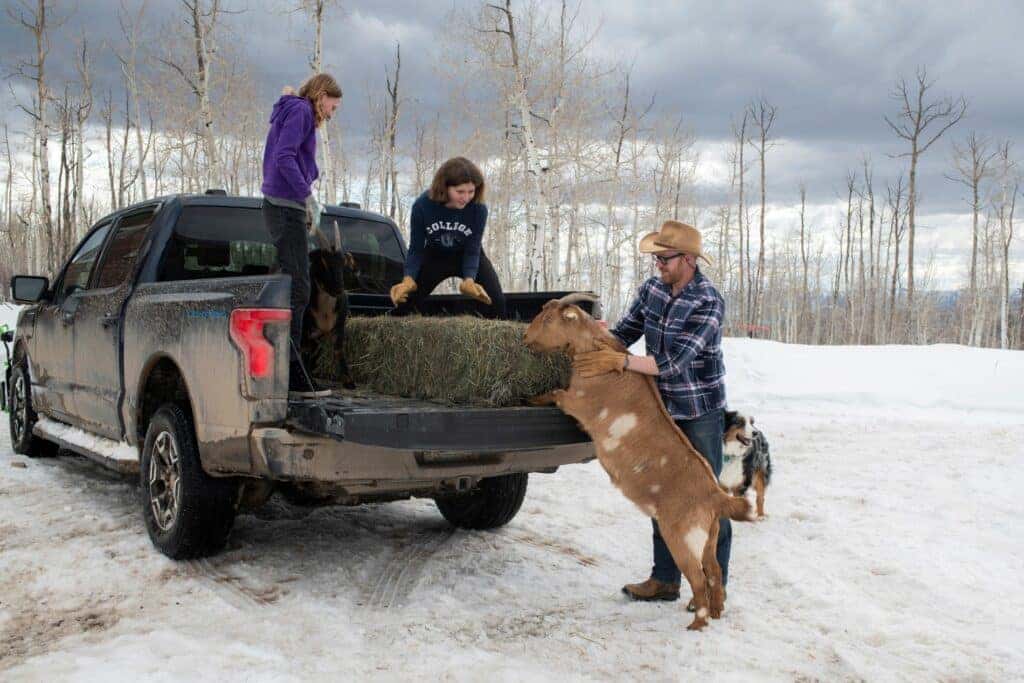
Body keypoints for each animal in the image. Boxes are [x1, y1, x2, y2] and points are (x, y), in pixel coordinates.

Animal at [302, 219, 356, 389]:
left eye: (342, 263)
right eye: (323, 263)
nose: (339, 288)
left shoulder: (339, 326)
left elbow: (338, 349)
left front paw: (349, 381)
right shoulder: (305, 330)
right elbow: (303, 352)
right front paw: (308, 381)